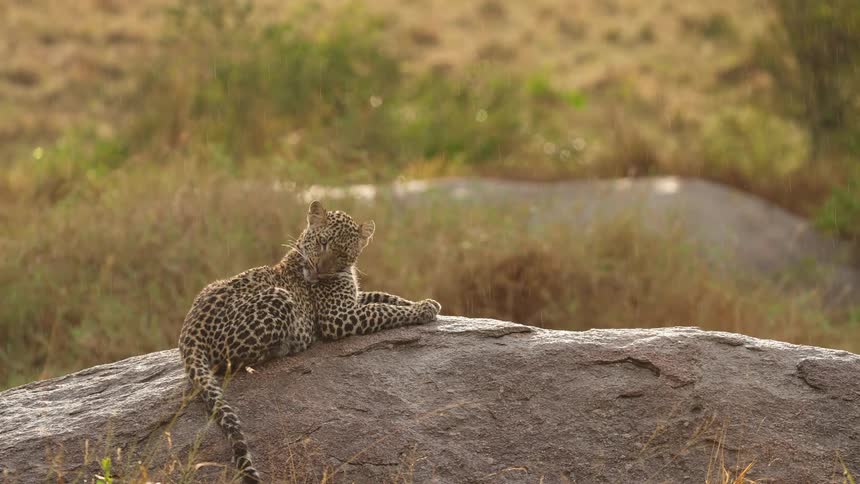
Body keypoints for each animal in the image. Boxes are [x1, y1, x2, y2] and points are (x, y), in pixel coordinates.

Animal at [178, 200, 441, 483]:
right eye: (323, 242)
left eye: (343, 253)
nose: (319, 270)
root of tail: (190, 328)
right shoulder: (337, 316)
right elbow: (382, 309)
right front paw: (423, 309)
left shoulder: (353, 300)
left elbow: (383, 296)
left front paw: (425, 302)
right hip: (278, 298)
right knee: (231, 362)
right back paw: (288, 346)